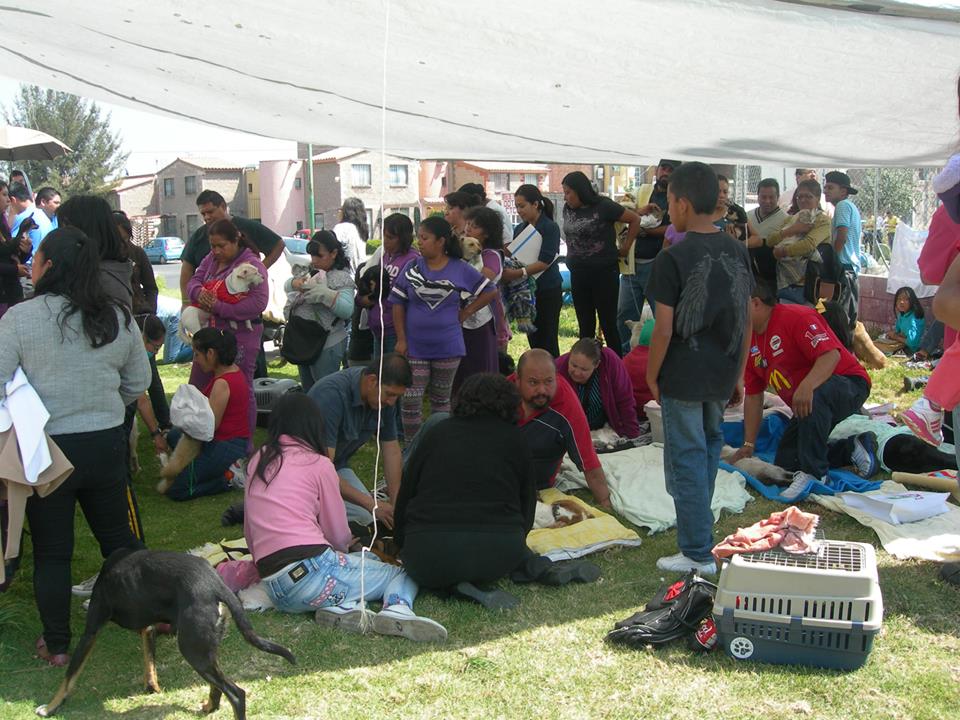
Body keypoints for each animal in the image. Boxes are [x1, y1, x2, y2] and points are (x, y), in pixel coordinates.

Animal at [35, 548, 294, 716]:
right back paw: (208, 707)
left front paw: (50, 707)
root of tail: (216, 585)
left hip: (192, 650)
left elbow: (69, 676)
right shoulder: (148, 628)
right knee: (218, 687)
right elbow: (149, 663)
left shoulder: (91, 631)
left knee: (236, 694)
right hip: (204, 650)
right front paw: (152, 688)